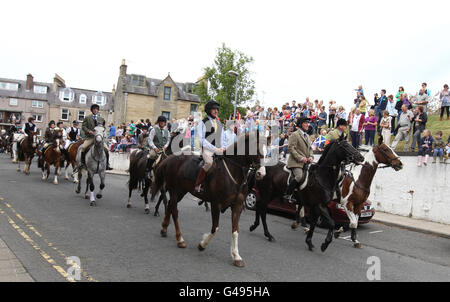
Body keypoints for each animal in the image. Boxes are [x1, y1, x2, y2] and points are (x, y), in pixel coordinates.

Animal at [149, 132, 268, 266]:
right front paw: (202, 244)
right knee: (174, 211)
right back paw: (180, 239)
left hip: (181, 192)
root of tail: (171, 158)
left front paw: (236, 256)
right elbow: (215, 228)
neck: (233, 173)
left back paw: (164, 228)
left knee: (170, 205)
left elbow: (235, 231)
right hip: (176, 190)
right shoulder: (216, 204)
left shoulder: (237, 206)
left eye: (268, 151)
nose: (261, 174)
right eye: (257, 150)